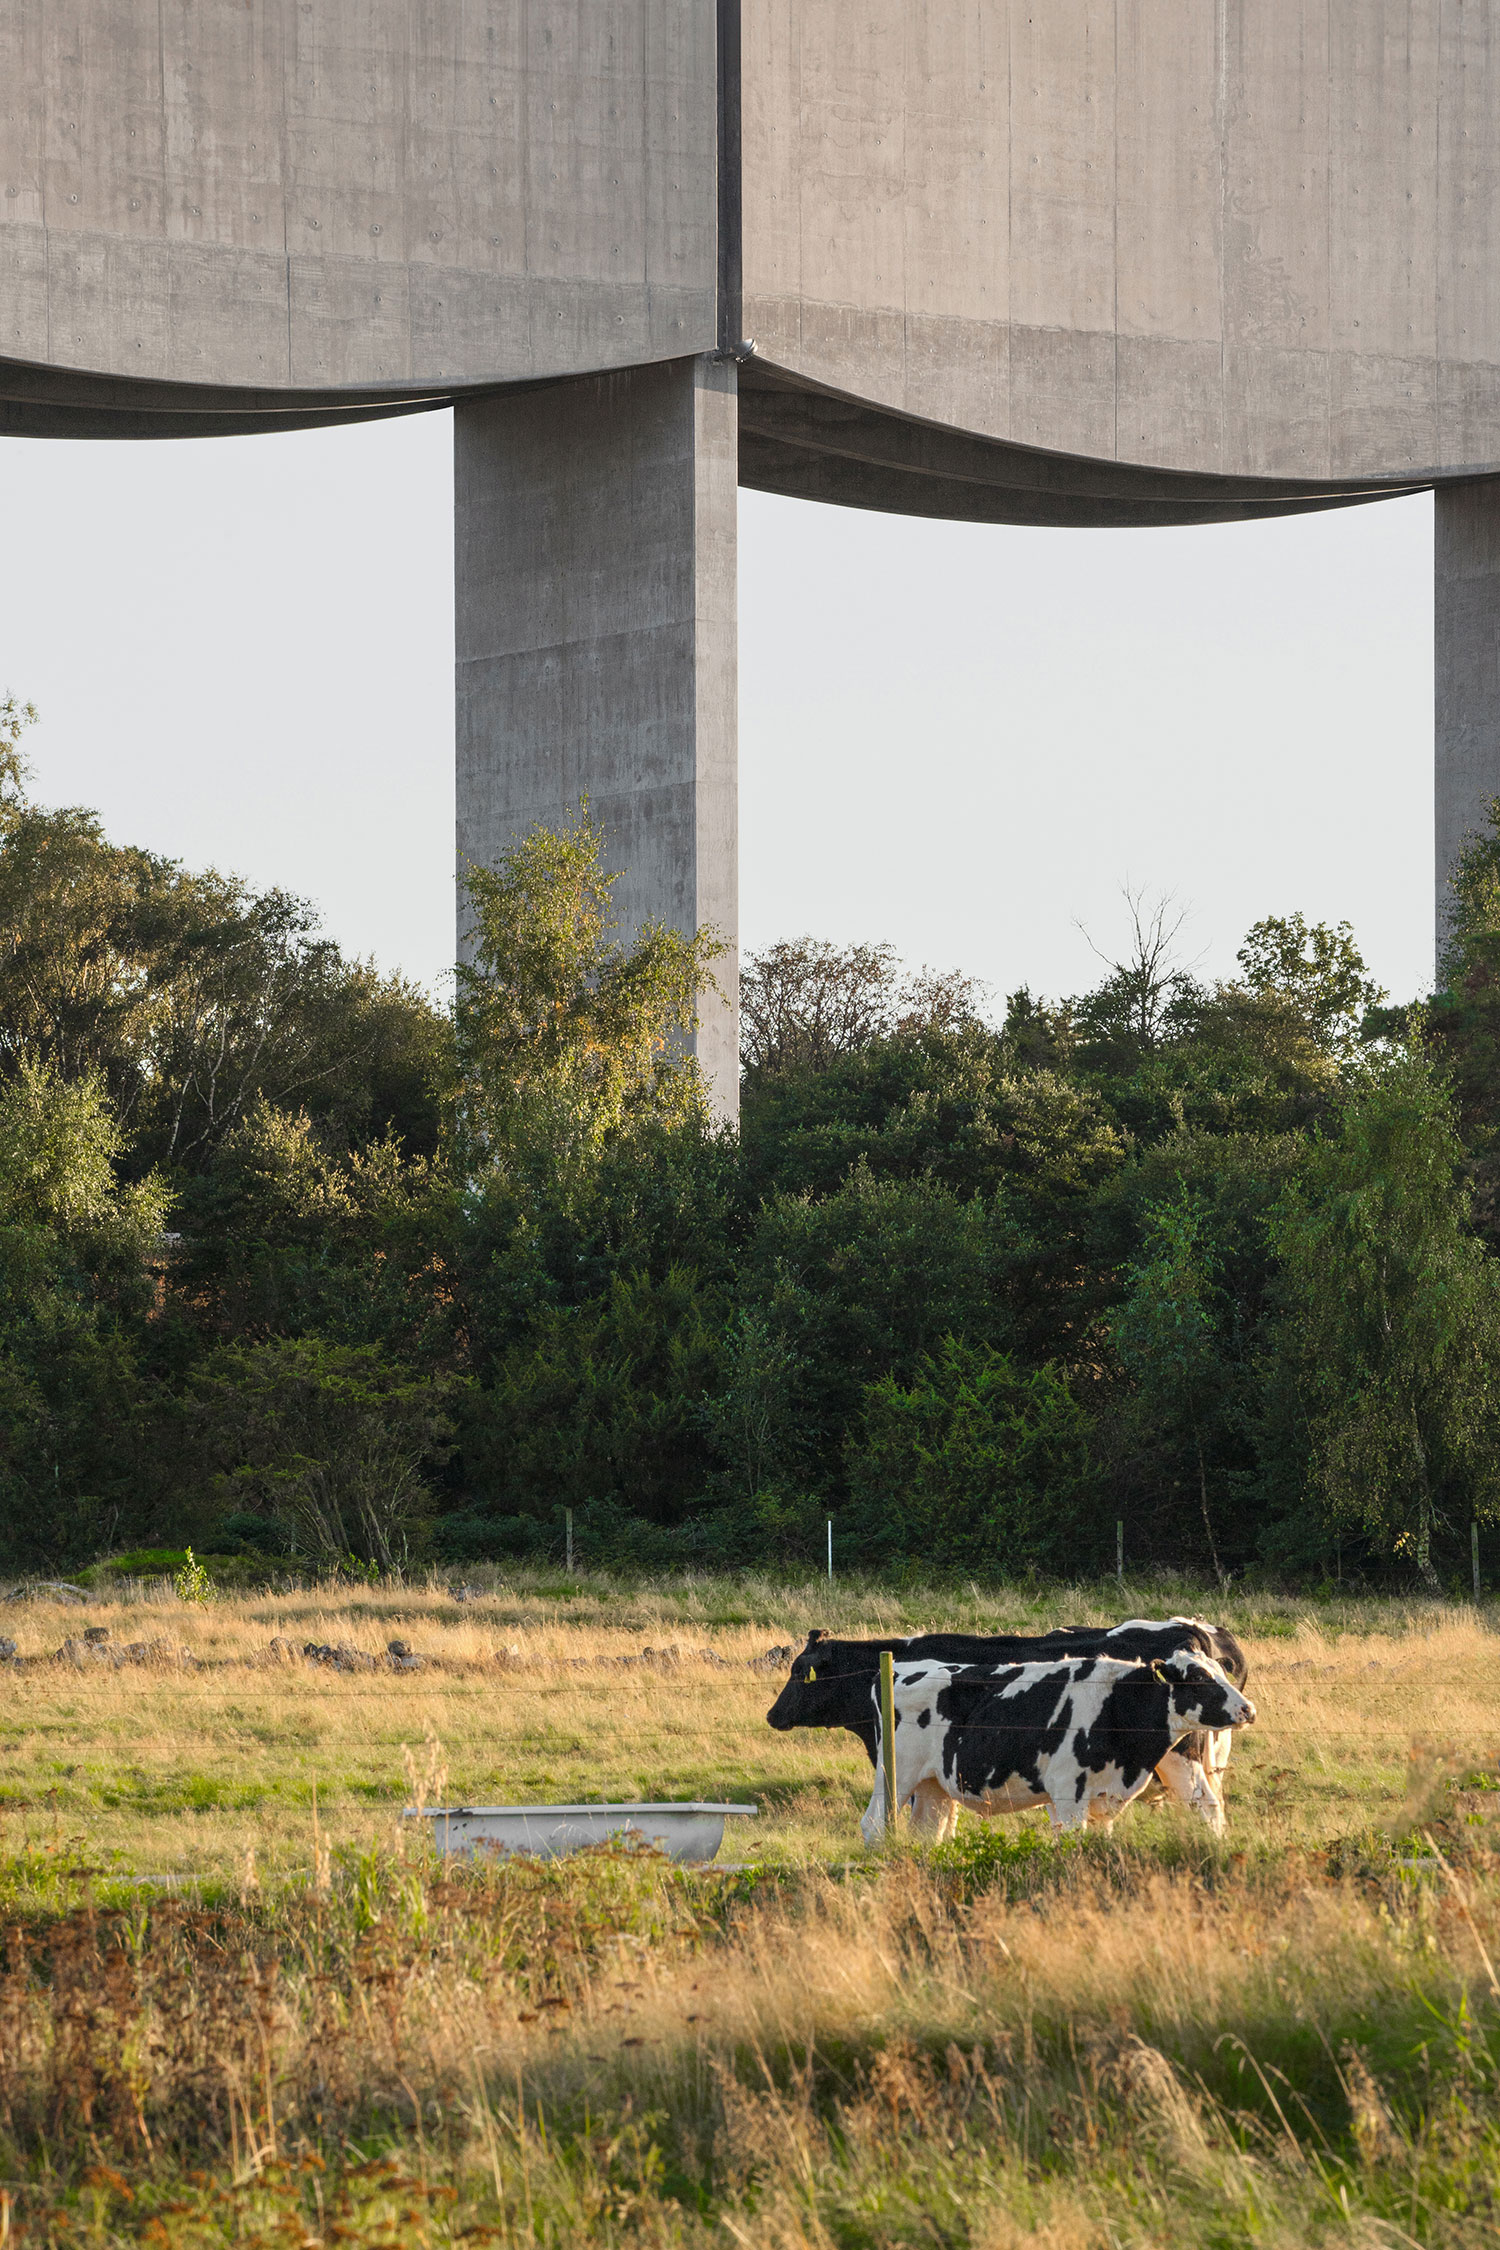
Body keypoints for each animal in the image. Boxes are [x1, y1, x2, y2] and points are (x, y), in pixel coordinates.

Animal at [863, 1656, 1259, 1845]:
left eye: (1220, 1671)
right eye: (1199, 1678)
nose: (1248, 1709)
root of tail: (898, 1668)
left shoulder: (1102, 1798)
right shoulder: (1069, 1795)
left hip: (934, 1785)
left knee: (928, 1834)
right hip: (895, 1775)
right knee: (873, 1824)